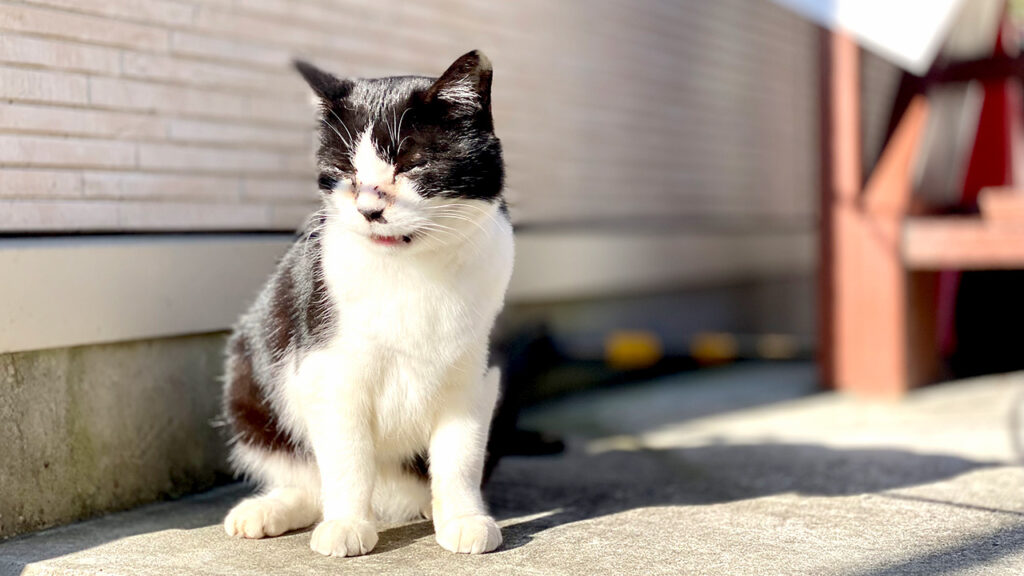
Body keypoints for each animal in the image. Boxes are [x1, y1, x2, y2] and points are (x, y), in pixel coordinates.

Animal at [222, 51, 512, 553]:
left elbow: (460, 454)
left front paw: (463, 519)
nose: (369, 210)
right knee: (306, 476)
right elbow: (347, 457)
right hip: (247, 378)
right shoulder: (330, 370)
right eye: (346, 174)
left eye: (411, 163)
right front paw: (346, 525)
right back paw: (268, 510)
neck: (411, 270)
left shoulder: (477, 374)